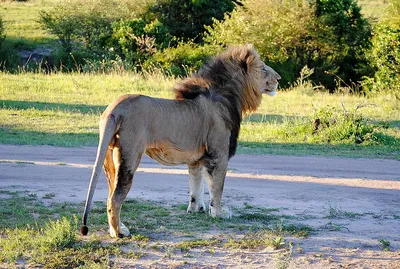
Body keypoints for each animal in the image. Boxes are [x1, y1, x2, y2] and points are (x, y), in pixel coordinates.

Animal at [80, 44, 282, 237]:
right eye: (264, 69)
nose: (279, 79)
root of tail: (114, 108)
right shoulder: (219, 156)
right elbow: (217, 188)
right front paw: (218, 213)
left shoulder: (196, 160)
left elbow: (196, 186)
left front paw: (196, 209)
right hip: (129, 157)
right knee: (115, 198)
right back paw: (118, 233)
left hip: (109, 158)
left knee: (109, 195)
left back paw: (117, 228)